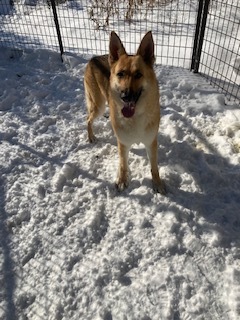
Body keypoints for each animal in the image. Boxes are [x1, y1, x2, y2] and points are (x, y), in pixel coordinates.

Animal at [84, 31, 165, 194]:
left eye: (138, 74)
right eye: (120, 74)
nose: (125, 96)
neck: (135, 116)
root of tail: (93, 58)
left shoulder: (151, 142)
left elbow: (154, 166)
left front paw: (157, 183)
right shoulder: (123, 143)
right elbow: (123, 164)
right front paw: (122, 180)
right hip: (98, 105)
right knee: (88, 119)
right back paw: (91, 136)